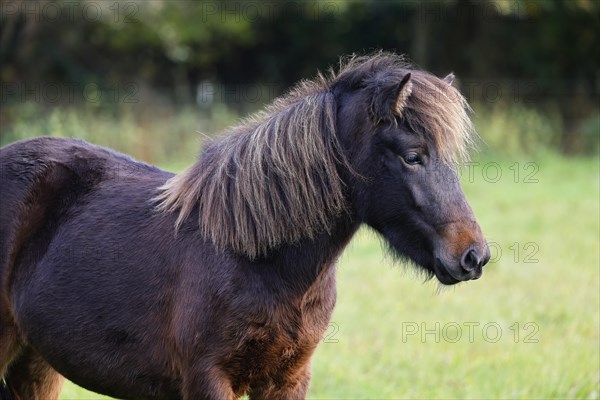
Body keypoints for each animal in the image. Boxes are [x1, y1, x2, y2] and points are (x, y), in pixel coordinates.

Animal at [0, 54, 488, 400]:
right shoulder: (208, 379)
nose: (474, 255)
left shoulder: (288, 380)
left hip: (35, 363)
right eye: (413, 156)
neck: (256, 258)